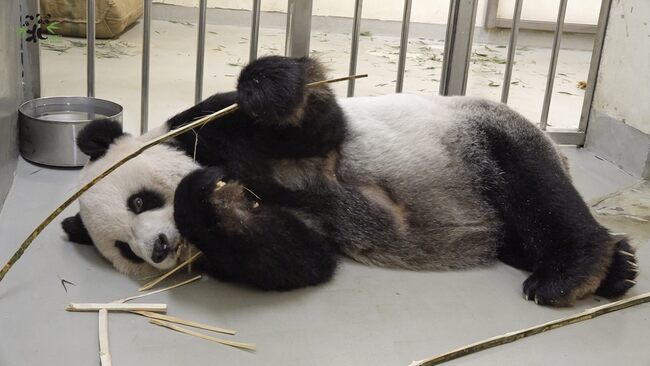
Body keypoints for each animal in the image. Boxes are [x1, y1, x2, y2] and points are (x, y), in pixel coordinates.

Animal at [63, 55, 636, 308]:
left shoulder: (211, 128)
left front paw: (267, 88)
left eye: (140, 200)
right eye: (126, 251)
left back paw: (573, 271)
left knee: (538, 193)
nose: (159, 248)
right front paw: (214, 202)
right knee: (521, 229)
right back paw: (617, 270)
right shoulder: (249, 245)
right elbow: (297, 258)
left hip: (482, 139)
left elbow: (316, 126)